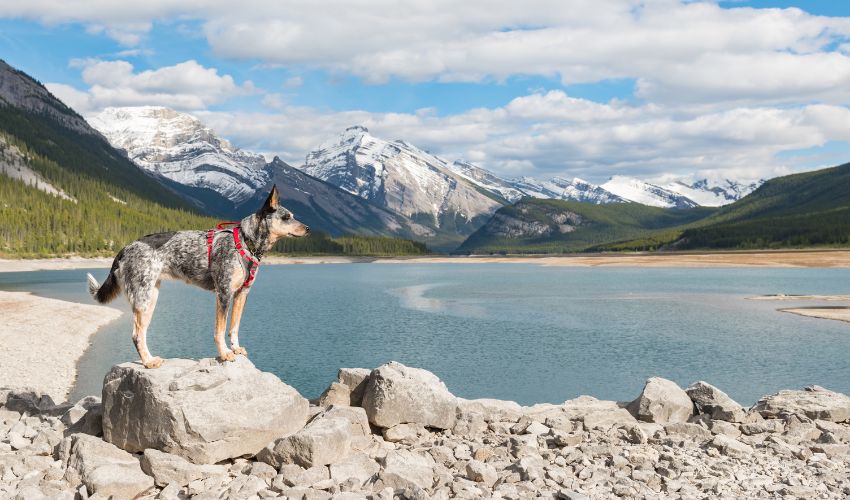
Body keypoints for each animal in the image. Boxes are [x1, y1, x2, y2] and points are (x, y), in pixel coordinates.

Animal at [85, 187, 308, 368]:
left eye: (293, 215)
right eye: (286, 217)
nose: (308, 228)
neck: (246, 242)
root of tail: (125, 248)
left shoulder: (242, 294)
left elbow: (234, 328)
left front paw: (235, 348)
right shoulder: (224, 294)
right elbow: (220, 330)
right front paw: (225, 353)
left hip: (150, 299)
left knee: (142, 333)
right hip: (143, 298)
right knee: (136, 335)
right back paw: (148, 362)